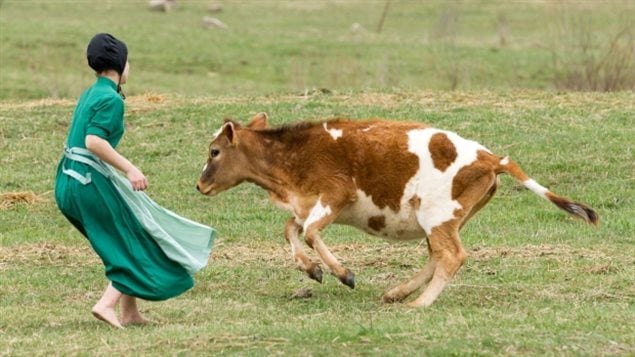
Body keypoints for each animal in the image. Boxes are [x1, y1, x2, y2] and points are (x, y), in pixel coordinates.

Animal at [196, 112, 600, 306]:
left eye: (214, 151)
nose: (200, 185)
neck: (295, 155)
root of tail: (491, 157)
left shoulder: (333, 197)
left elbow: (308, 233)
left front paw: (344, 274)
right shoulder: (306, 204)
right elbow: (290, 230)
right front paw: (312, 270)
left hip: (437, 217)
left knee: (452, 256)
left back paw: (418, 304)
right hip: (445, 220)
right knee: (438, 255)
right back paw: (398, 294)